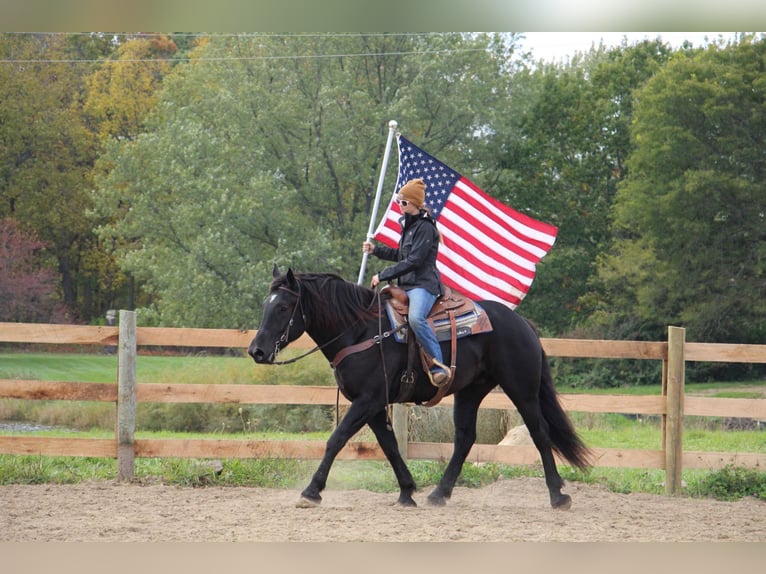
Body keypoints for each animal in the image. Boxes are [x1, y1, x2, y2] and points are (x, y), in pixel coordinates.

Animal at [252, 268, 592, 510]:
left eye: (283, 307)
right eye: (265, 305)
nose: (257, 350)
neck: (360, 331)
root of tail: (522, 323)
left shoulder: (367, 401)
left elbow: (336, 439)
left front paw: (311, 491)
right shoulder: (374, 406)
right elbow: (389, 445)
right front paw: (407, 491)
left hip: (521, 388)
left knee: (539, 432)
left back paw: (558, 496)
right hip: (471, 391)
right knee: (465, 438)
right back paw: (439, 494)